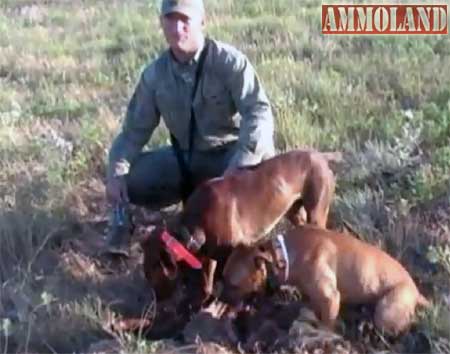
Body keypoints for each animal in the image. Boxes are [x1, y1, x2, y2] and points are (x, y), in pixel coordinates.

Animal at [141, 148, 342, 306]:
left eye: (152, 273)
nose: (156, 300)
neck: (193, 223)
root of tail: (320, 155)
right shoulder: (209, 256)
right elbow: (206, 285)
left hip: (316, 212)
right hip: (293, 212)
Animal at [221, 225, 428, 336]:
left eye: (233, 283)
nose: (220, 298)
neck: (283, 255)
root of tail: (417, 292)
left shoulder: (330, 298)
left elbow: (326, 325)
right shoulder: (314, 296)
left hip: (387, 311)